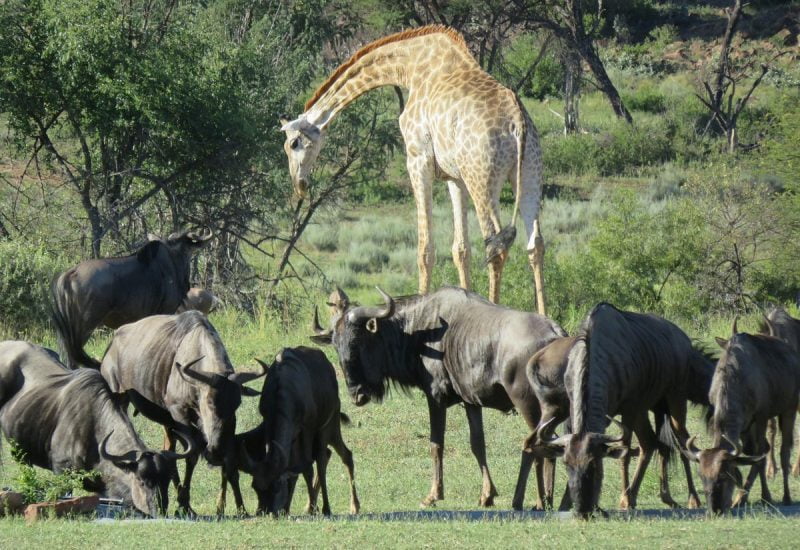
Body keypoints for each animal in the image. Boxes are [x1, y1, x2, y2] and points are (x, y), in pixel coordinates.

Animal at [281, 25, 546, 315]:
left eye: (293, 144)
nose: (299, 185)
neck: (412, 67)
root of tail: (517, 123)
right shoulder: (455, 177)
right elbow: (461, 249)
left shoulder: (418, 159)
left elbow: (425, 249)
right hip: (529, 173)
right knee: (535, 244)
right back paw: (544, 318)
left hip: (483, 178)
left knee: (496, 245)